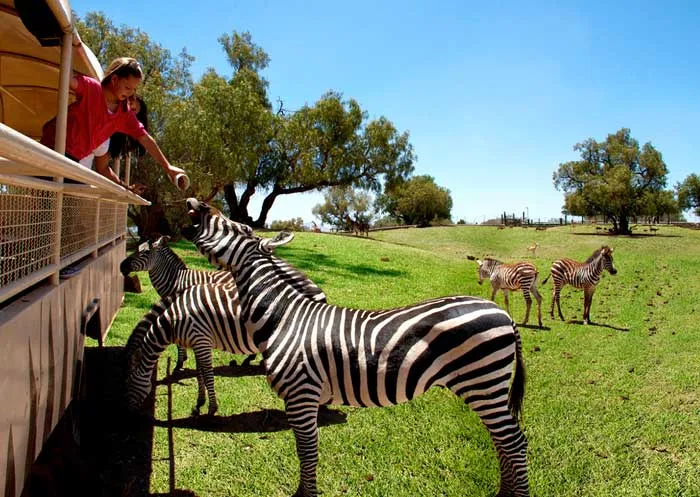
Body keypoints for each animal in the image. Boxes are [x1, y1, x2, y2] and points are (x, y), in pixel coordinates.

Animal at [121, 234, 235, 370]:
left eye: (145, 252)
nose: (121, 266)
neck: (177, 280)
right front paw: (183, 359)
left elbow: (177, 342)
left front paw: (179, 363)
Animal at [165, 200, 524, 496]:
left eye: (240, 228)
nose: (197, 202)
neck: (285, 317)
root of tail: (503, 313)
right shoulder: (308, 398)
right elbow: (307, 453)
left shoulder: (301, 394)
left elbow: (306, 453)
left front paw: (305, 495)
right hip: (485, 387)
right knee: (503, 442)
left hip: (482, 382)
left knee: (514, 443)